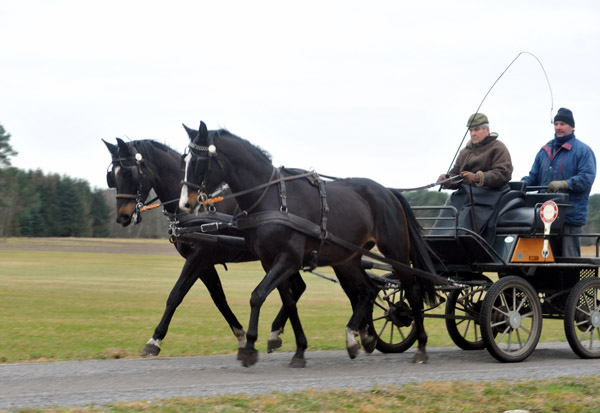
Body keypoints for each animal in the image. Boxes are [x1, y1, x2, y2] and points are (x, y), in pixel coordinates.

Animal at [102, 137, 304, 356]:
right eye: (112, 177)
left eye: (129, 173)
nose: (122, 217)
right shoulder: (205, 264)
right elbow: (218, 298)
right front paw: (241, 335)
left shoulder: (199, 257)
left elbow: (176, 294)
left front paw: (155, 339)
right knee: (298, 287)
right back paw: (276, 330)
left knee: (296, 288)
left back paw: (276, 330)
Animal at [180, 120, 438, 366]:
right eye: (185, 160)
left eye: (199, 162)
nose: (185, 203)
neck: (272, 199)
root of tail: (389, 191)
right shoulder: (270, 261)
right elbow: (288, 301)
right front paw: (299, 349)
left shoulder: (288, 259)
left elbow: (258, 295)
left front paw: (250, 346)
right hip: (347, 258)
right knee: (368, 290)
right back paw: (356, 337)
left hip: (396, 251)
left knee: (412, 291)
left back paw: (421, 346)